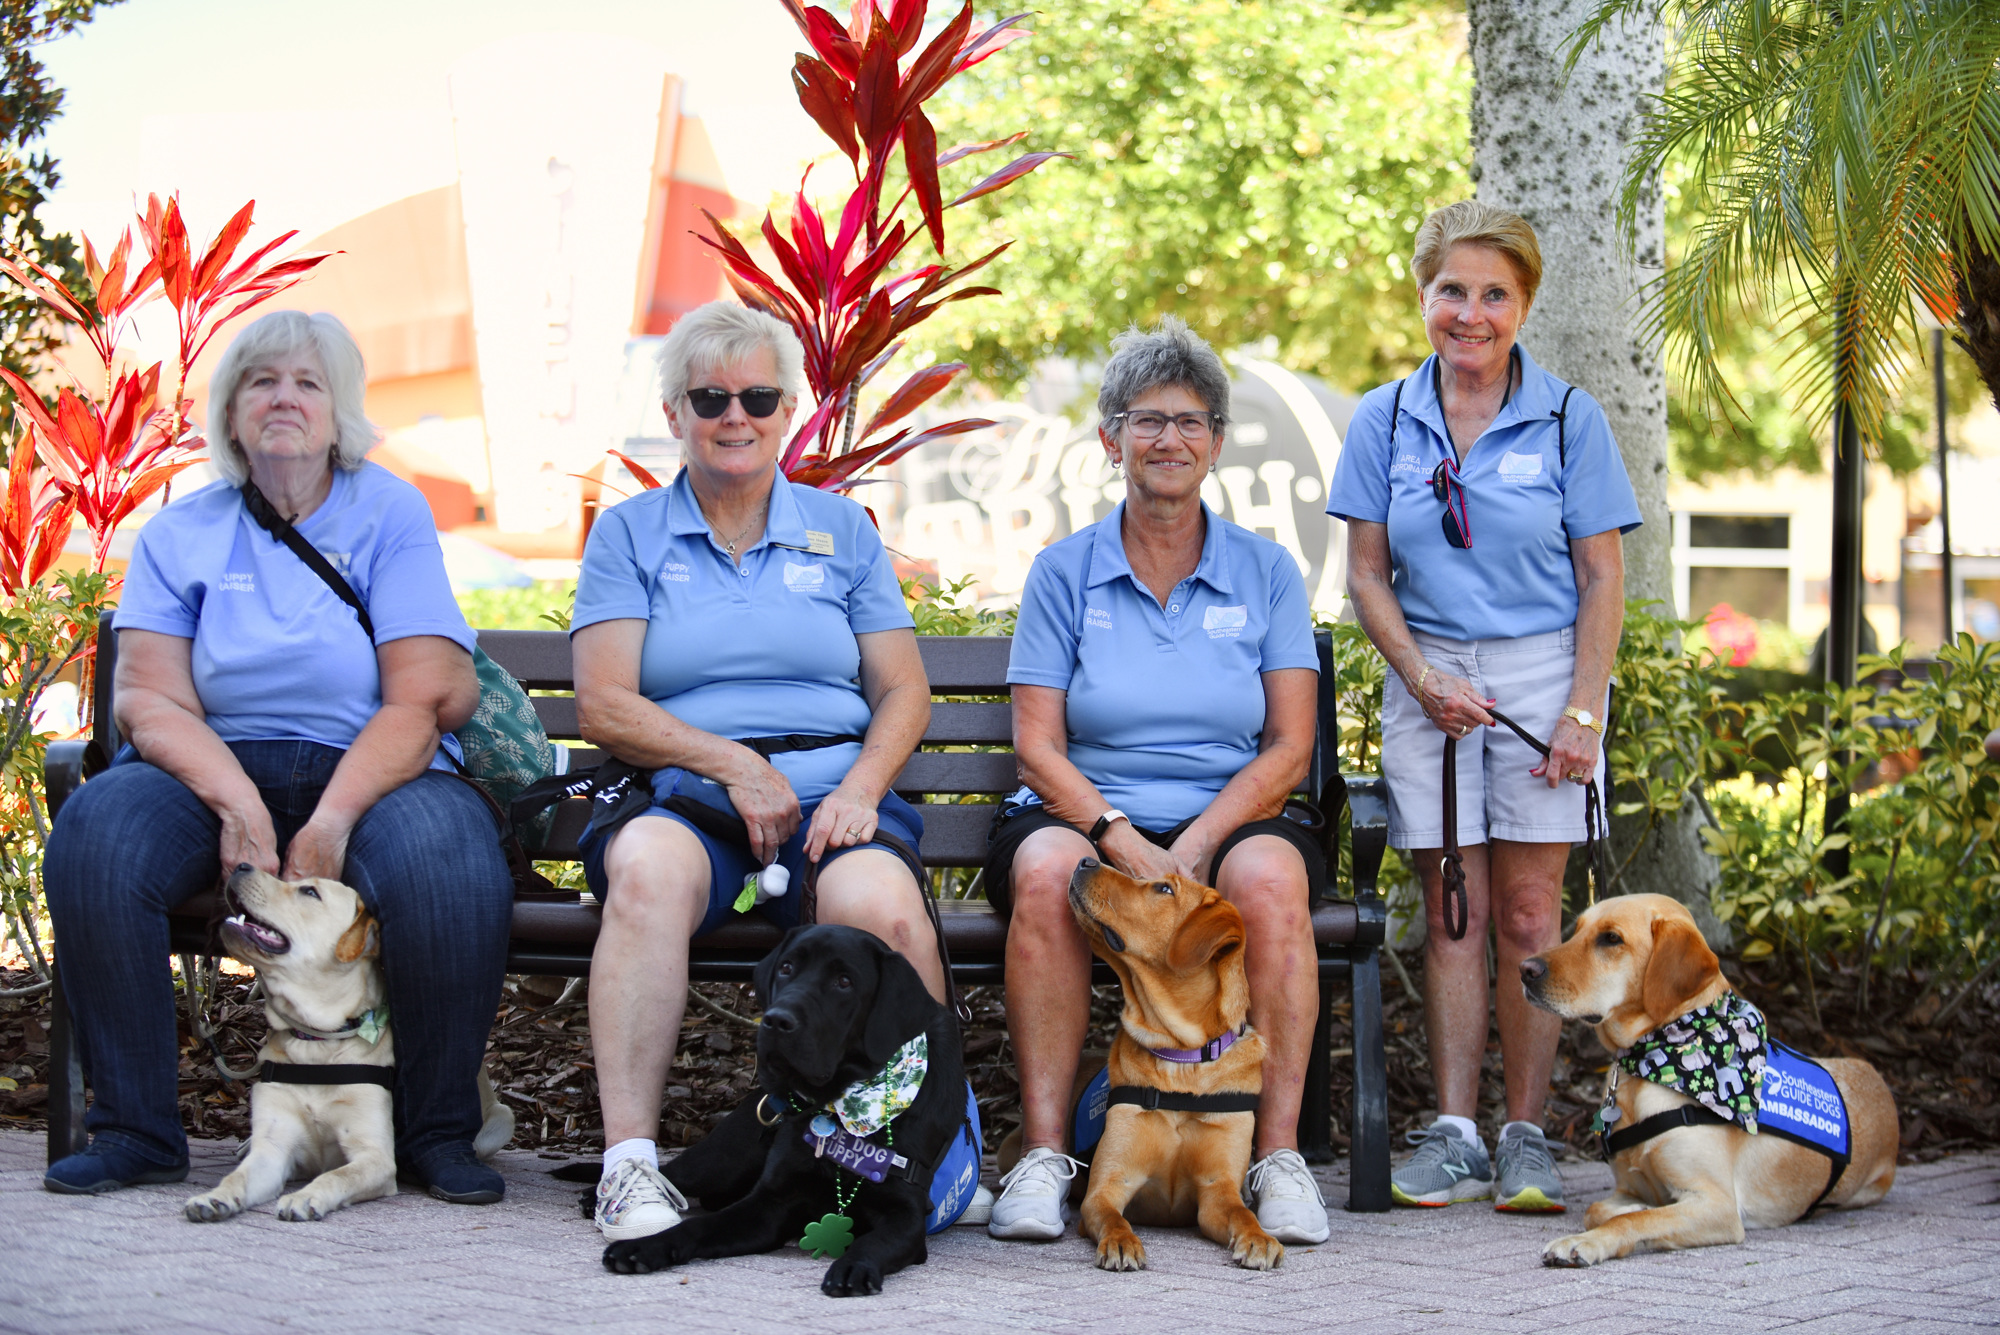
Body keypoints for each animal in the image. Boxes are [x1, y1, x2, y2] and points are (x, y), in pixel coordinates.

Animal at [600, 927, 960, 1295]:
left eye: (844, 981)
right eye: (787, 967)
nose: (776, 1020)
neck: (837, 1107)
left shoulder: (906, 1213)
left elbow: (874, 1241)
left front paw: (853, 1266)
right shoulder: (769, 1204)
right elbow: (697, 1226)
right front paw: (644, 1247)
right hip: (723, 1159)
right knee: (676, 1173)